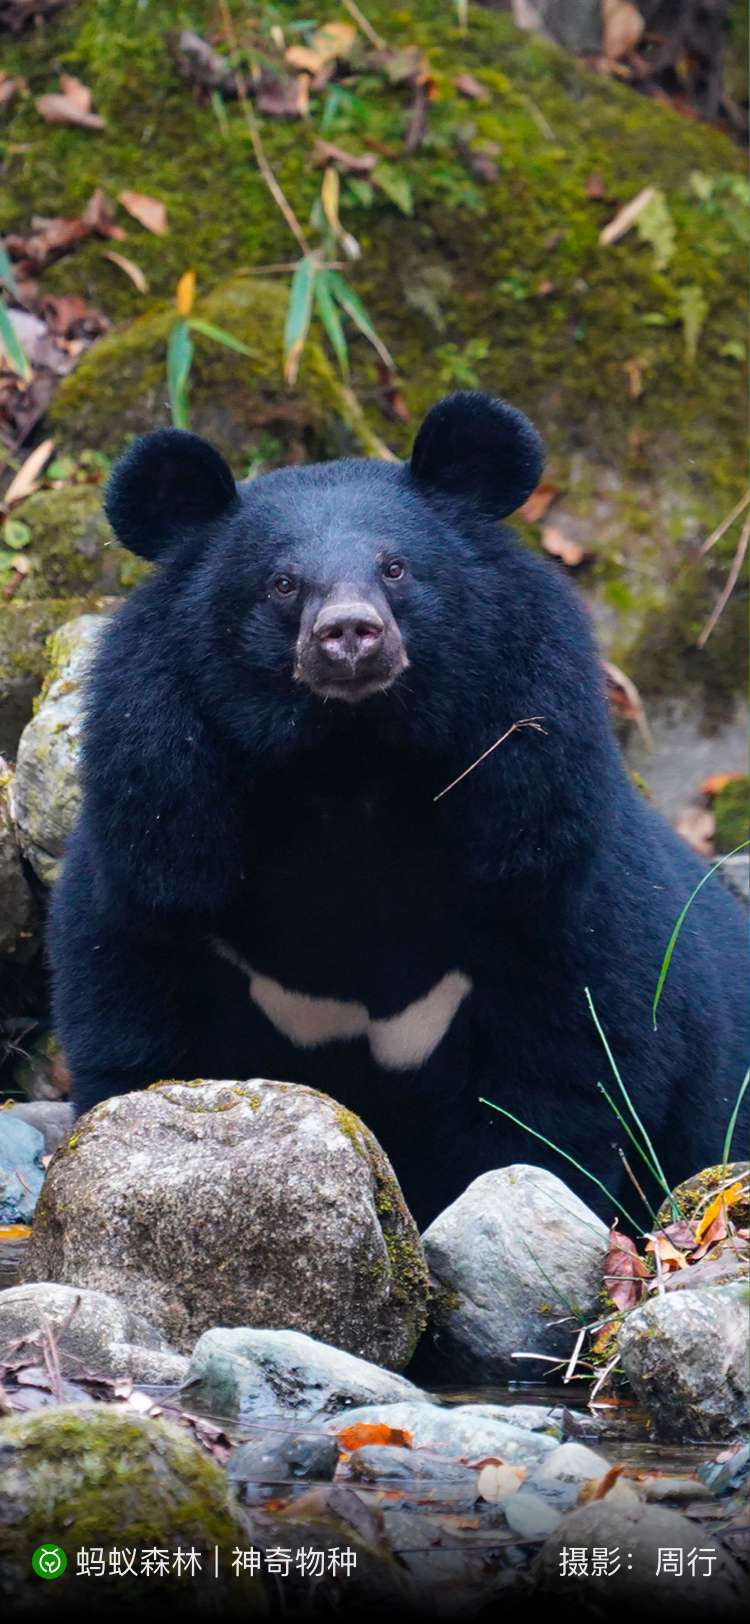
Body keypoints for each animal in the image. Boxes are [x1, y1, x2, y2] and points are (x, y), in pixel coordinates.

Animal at [49, 393, 746, 1221]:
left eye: (395, 566)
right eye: (282, 583)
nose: (350, 633)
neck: (350, 774)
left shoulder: (539, 858)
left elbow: (569, 1069)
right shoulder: (162, 838)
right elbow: (141, 1028)